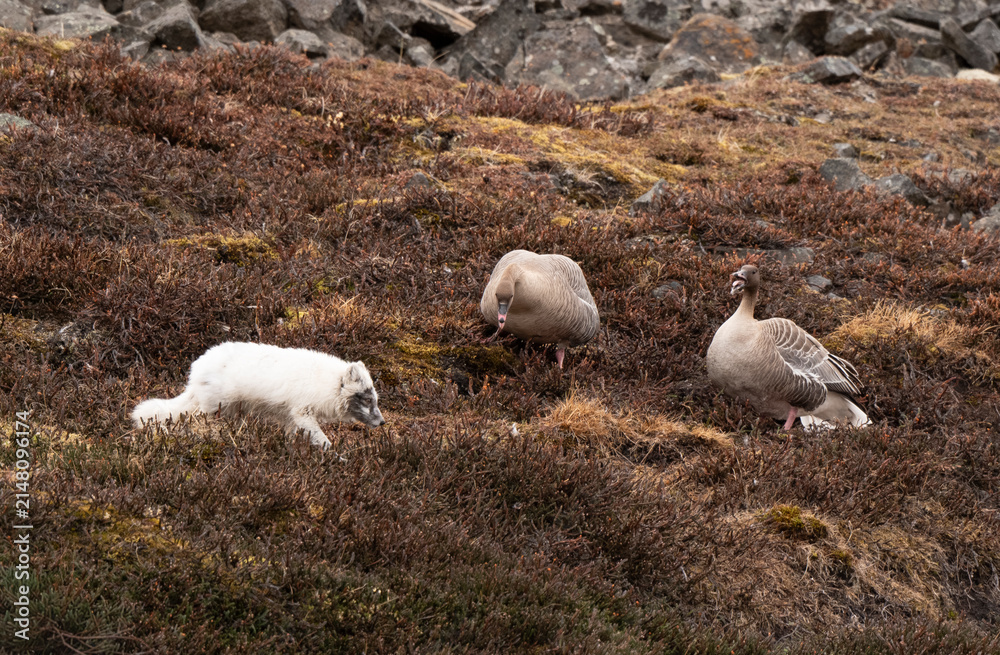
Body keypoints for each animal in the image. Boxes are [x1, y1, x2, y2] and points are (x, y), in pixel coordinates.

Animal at [132, 342, 385, 449]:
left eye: (375, 399)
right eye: (366, 399)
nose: (382, 422)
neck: (326, 384)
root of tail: (196, 372)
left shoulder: (292, 419)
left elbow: (293, 438)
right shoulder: (302, 412)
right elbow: (324, 441)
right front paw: (337, 457)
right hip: (214, 408)